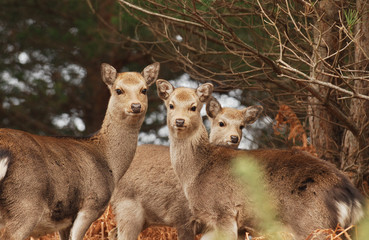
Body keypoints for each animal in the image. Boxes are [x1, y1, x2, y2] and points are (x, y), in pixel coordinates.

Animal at [0, 62, 158, 240]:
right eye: (119, 90)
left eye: (144, 89)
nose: (136, 106)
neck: (110, 164)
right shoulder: (91, 204)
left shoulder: (65, 222)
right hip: (25, 202)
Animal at [108, 96, 260, 239]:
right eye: (221, 123)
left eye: (242, 126)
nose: (234, 138)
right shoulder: (181, 216)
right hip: (127, 206)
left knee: (112, 232)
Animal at [155, 80, 362, 240]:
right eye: (171, 105)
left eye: (194, 107)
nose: (179, 121)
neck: (196, 172)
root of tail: (350, 195)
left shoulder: (224, 212)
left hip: (313, 222)